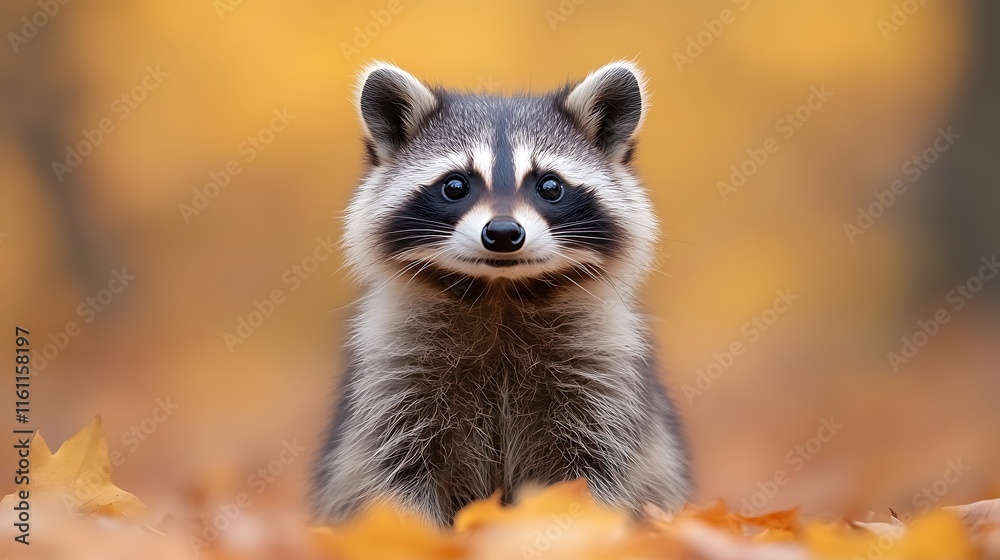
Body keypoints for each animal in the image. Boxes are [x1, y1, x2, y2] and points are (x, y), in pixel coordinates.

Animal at [312, 61, 692, 526]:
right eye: (455, 186)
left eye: (550, 186)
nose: (504, 233)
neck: (500, 292)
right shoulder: (393, 375)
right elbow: (396, 475)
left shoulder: (603, 372)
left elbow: (599, 470)